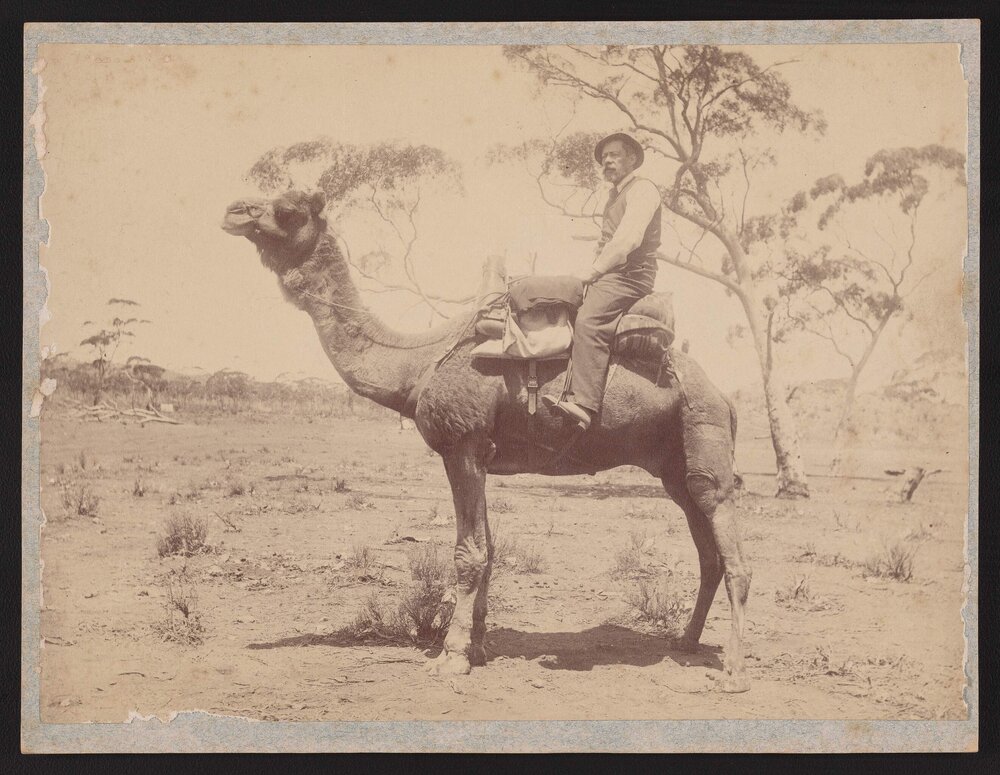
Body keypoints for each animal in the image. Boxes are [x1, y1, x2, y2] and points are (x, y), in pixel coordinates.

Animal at [222, 189, 752, 692]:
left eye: (288, 210)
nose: (234, 210)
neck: (416, 365)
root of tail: (724, 395)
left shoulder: (463, 445)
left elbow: (469, 554)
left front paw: (451, 656)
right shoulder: (478, 455)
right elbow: (490, 550)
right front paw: (477, 647)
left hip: (702, 435)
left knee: (729, 542)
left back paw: (732, 671)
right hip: (672, 467)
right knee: (707, 552)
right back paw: (685, 641)